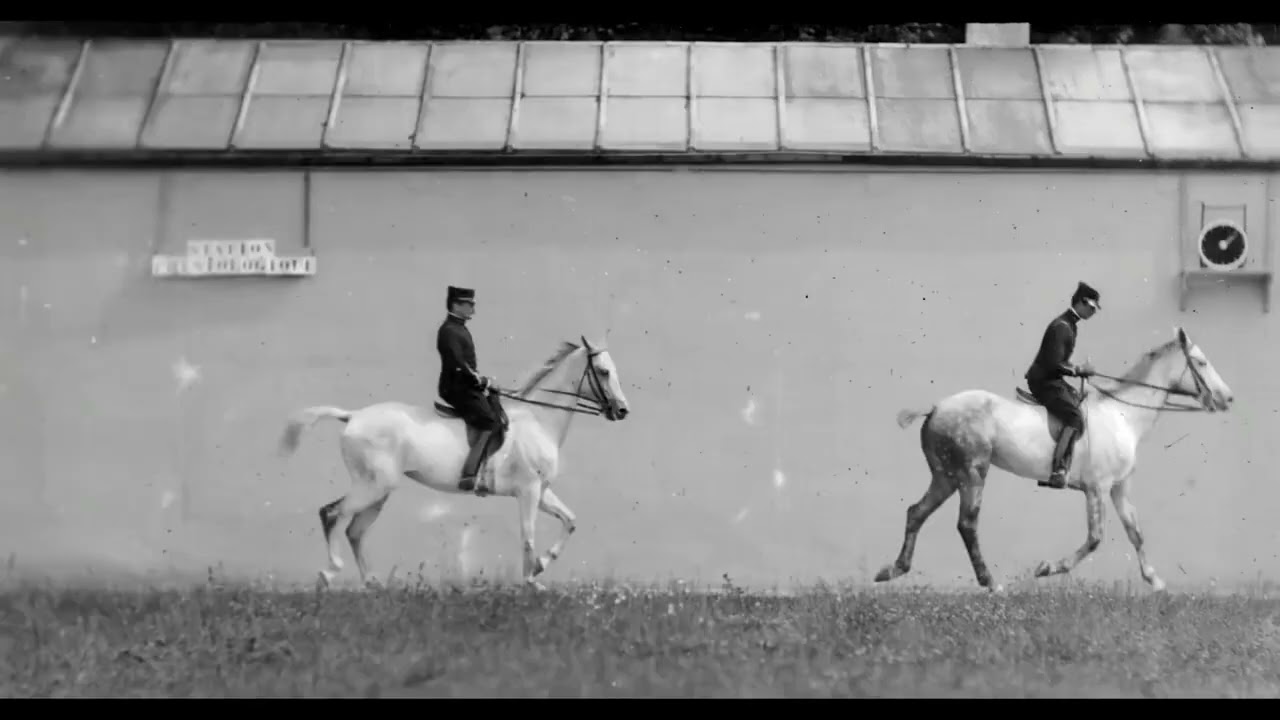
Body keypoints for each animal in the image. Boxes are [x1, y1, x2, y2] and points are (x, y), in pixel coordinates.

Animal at [277, 336, 630, 590]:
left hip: (379, 492)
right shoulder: (528, 491)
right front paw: (531, 580)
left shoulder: (541, 491)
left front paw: (541, 567)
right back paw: (329, 574)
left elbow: (569, 521)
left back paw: (372, 583)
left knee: (354, 530)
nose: (622, 410)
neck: (539, 419)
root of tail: (352, 417)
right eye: (603, 372)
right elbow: (528, 534)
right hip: (372, 487)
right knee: (332, 514)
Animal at [878, 326, 1233, 593]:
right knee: (966, 523)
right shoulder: (1097, 488)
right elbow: (1094, 539)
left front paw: (1155, 581)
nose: (1227, 398)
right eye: (1200, 363)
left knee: (916, 512)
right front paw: (1047, 567)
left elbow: (1135, 531)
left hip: (946, 476)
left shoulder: (1118, 487)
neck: (1123, 415)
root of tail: (936, 408)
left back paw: (892, 570)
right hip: (971, 474)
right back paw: (991, 583)